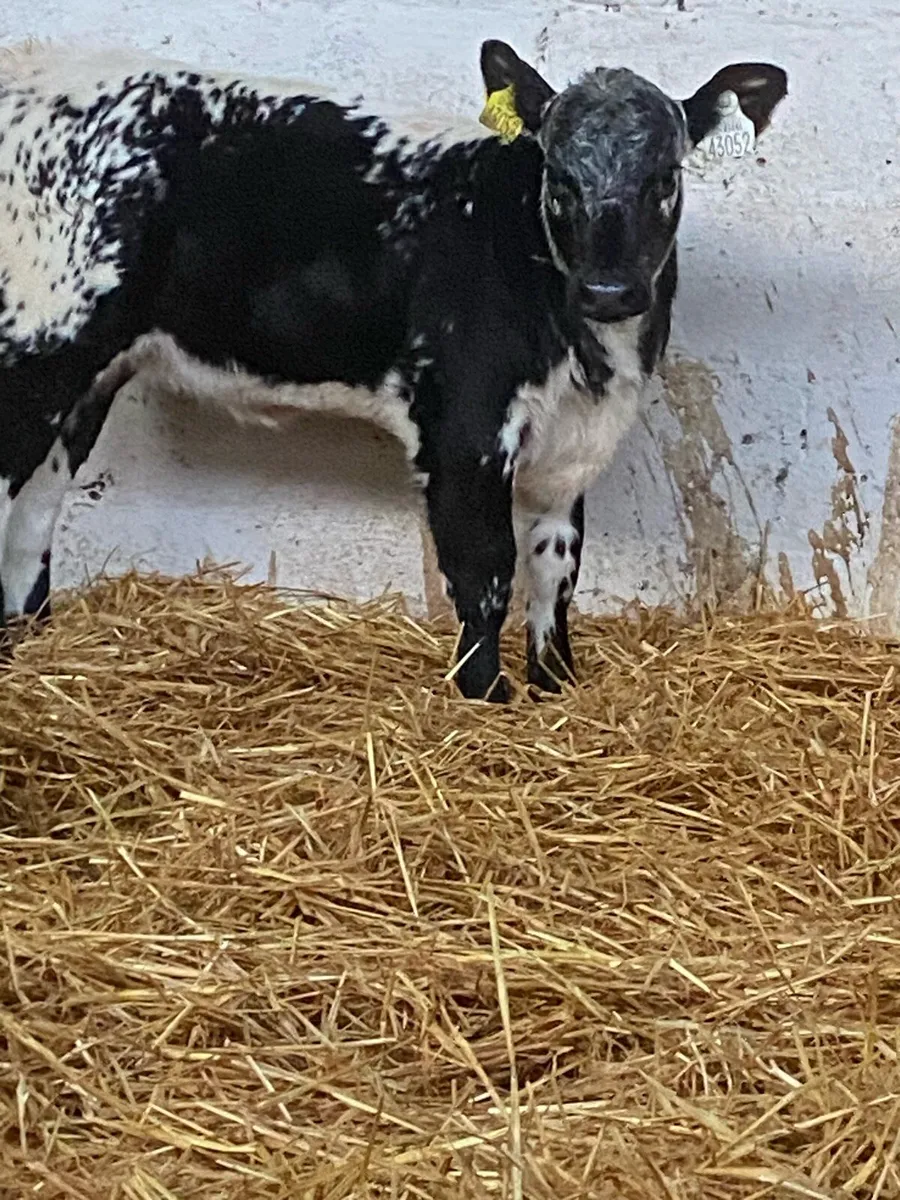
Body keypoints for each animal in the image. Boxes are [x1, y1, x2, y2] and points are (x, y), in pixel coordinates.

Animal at [0, 38, 787, 700]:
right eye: (559, 179)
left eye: (665, 176)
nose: (609, 290)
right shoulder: (464, 426)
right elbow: (485, 570)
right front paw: (485, 699)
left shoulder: (571, 442)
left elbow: (556, 566)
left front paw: (556, 687)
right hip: (35, 352)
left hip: (89, 375)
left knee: (34, 516)